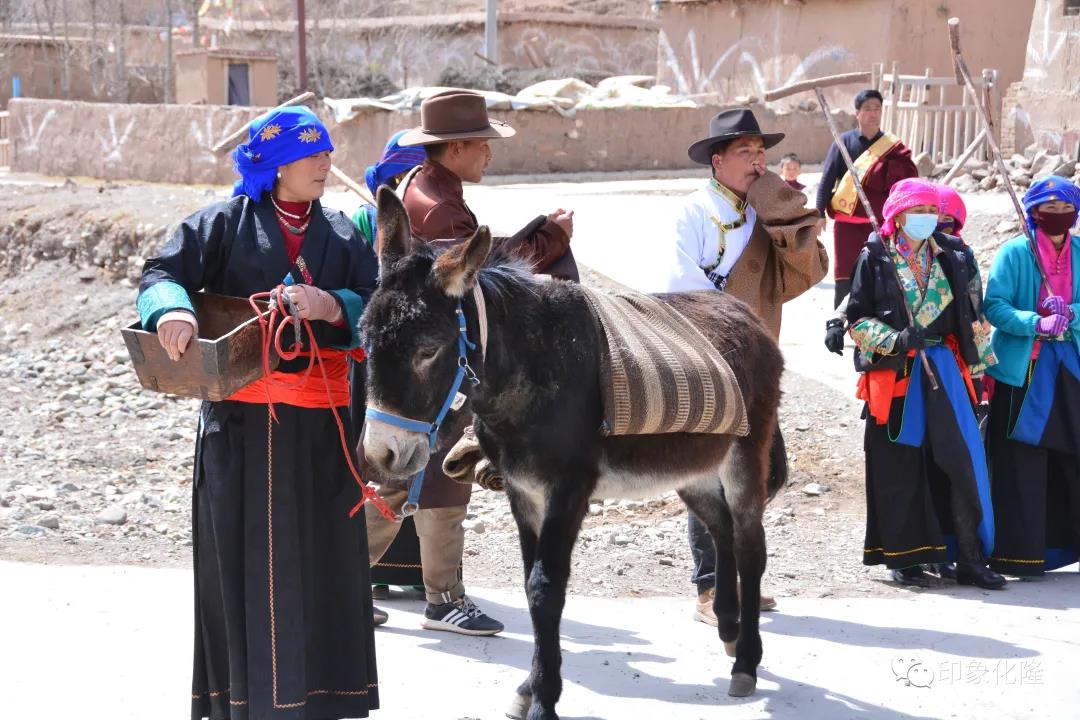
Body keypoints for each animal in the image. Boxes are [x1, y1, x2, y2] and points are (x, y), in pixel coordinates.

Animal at [360, 188, 785, 720]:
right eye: (365, 341)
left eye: (427, 350)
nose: (381, 454)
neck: (531, 365)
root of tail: (749, 315)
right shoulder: (521, 490)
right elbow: (529, 582)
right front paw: (530, 686)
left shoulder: (568, 490)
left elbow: (545, 589)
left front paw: (543, 698)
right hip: (692, 470)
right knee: (720, 527)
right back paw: (728, 628)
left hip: (745, 456)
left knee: (750, 545)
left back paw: (746, 661)